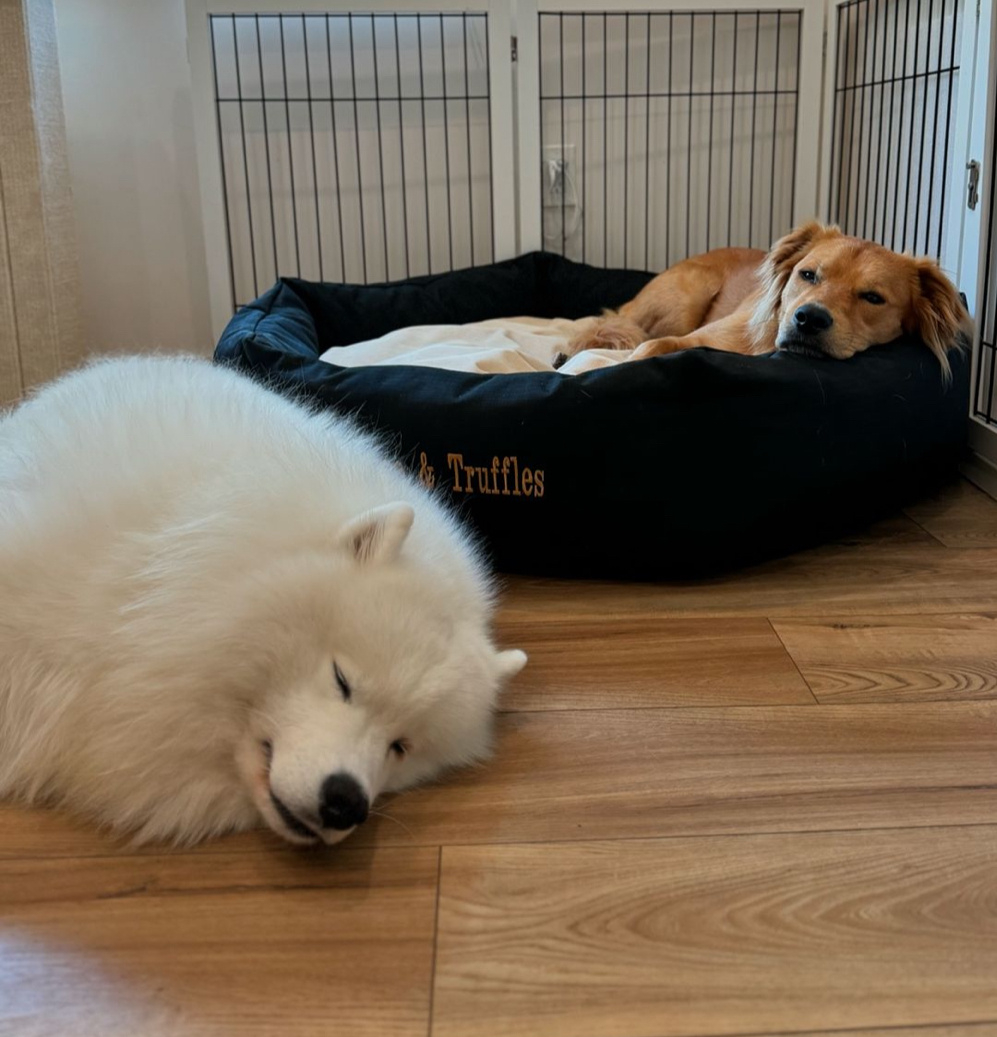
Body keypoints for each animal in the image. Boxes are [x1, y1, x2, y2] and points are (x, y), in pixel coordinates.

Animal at [563, 222, 970, 376]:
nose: (809, 318)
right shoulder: (692, 337)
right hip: (686, 297)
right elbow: (649, 348)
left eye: (872, 297)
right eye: (808, 274)